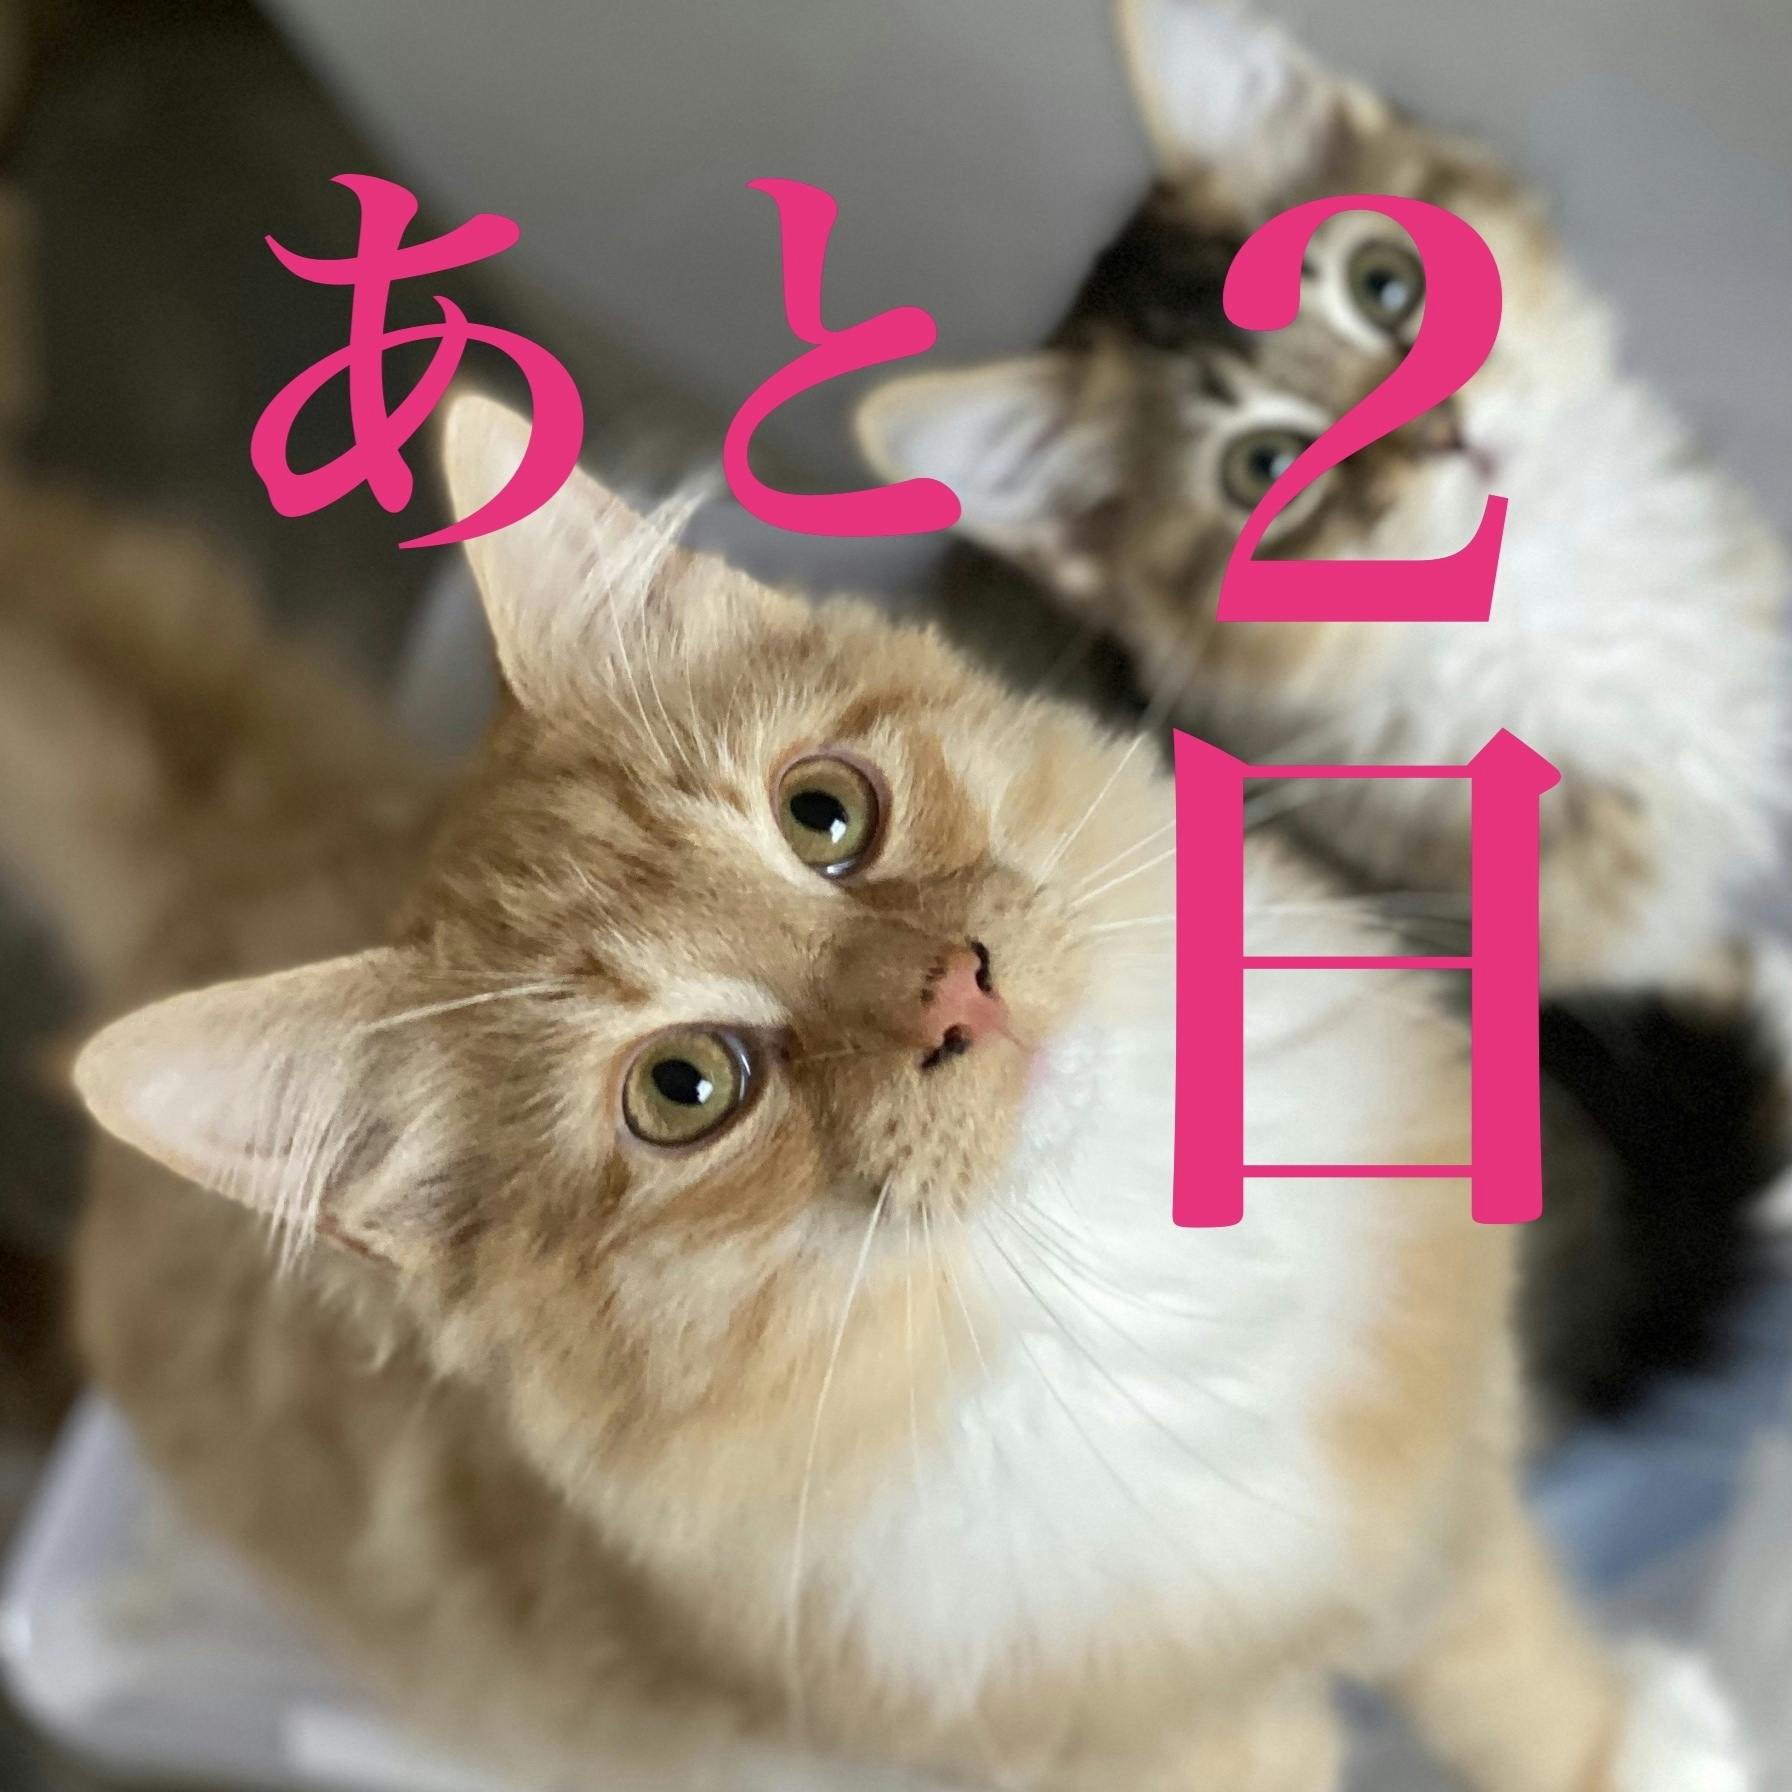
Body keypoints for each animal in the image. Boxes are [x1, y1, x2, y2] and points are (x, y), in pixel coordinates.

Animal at [0, 394, 1750, 1789]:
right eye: (685, 1089)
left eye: (824, 816)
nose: (957, 987)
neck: (1113, 1260)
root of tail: (234, 852)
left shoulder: (1429, 1507)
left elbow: (1511, 1674)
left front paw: (1638, 1747)